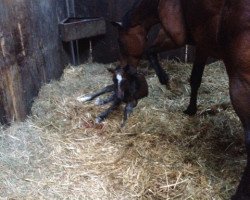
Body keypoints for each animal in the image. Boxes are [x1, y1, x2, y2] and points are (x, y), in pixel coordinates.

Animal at [114, 0, 250, 199]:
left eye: (120, 42)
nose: (124, 69)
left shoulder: (176, 36)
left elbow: (150, 50)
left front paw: (165, 80)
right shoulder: (202, 46)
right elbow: (195, 79)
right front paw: (191, 109)